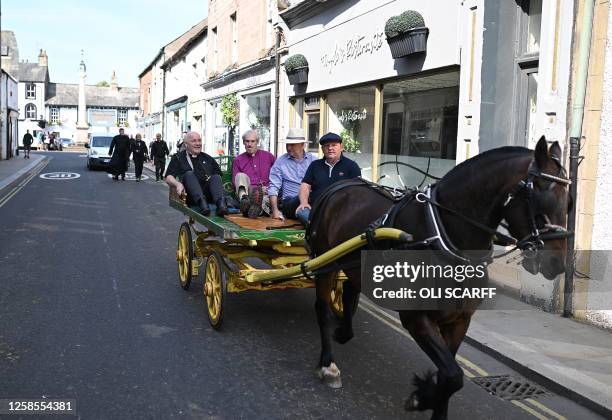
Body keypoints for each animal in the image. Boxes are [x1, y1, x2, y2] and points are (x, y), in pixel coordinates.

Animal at [308, 137, 572, 420]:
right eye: (542, 198)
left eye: (569, 202)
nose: (557, 264)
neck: (443, 236)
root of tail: (341, 186)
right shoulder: (417, 319)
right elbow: (454, 375)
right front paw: (421, 397)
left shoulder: (459, 320)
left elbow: (448, 376)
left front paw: (429, 398)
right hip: (324, 261)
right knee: (321, 308)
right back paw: (328, 364)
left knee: (348, 290)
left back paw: (344, 332)